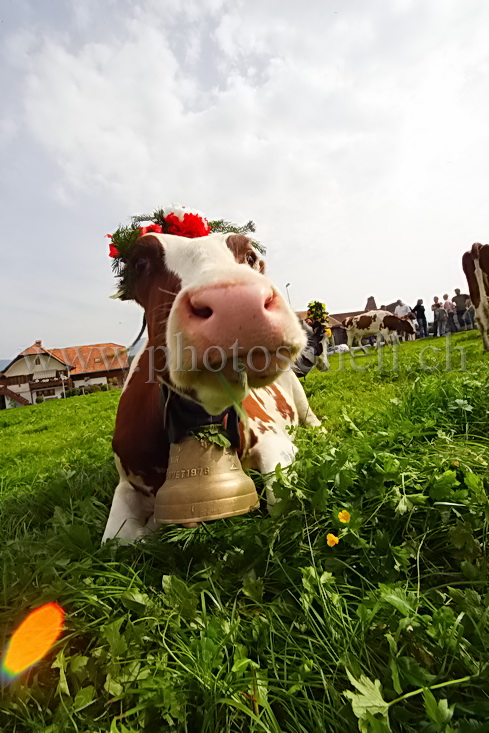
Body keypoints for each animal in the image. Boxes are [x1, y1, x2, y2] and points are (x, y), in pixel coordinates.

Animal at [103, 232, 320, 540]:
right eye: (140, 262)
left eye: (250, 256)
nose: (236, 303)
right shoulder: (126, 483)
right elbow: (117, 538)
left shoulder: (272, 437)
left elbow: (279, 500)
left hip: (297, 393)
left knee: (311, 418)